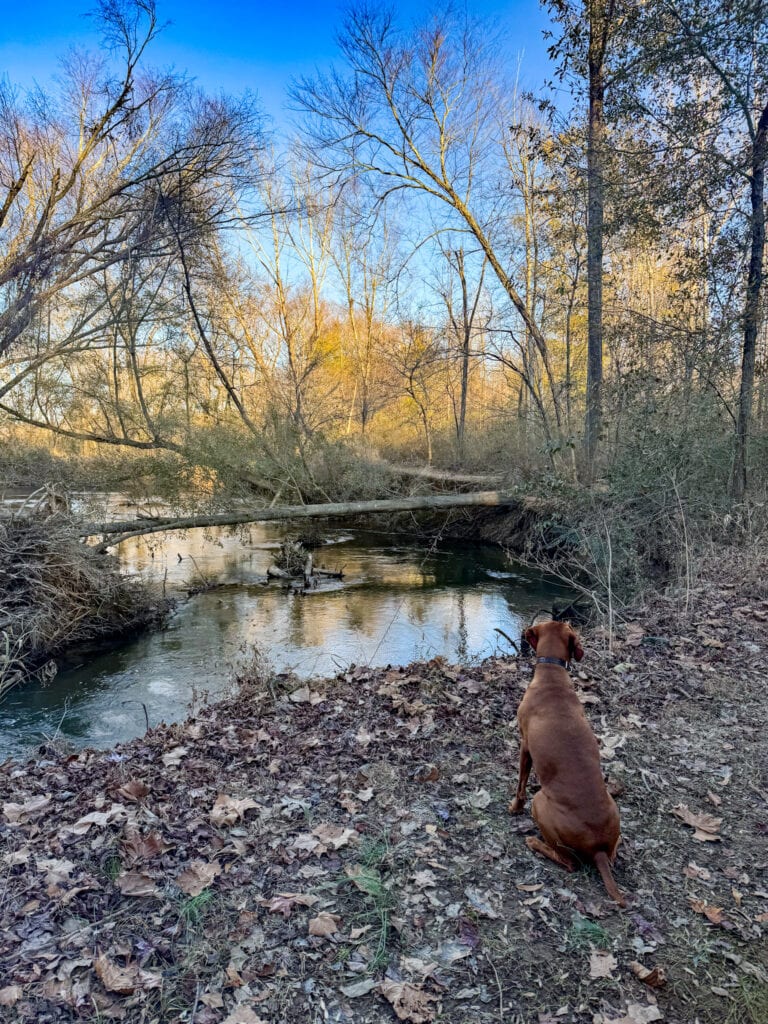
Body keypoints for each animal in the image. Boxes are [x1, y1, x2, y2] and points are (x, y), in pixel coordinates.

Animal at [507, 622, 626, 905]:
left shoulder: (525, 745)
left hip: (541, 803)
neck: (552, 675)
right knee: (612, 855)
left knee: (569, 862)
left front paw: (514, 807)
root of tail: (598, 850)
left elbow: (521, 784)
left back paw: (534, 843)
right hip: (613, 814)